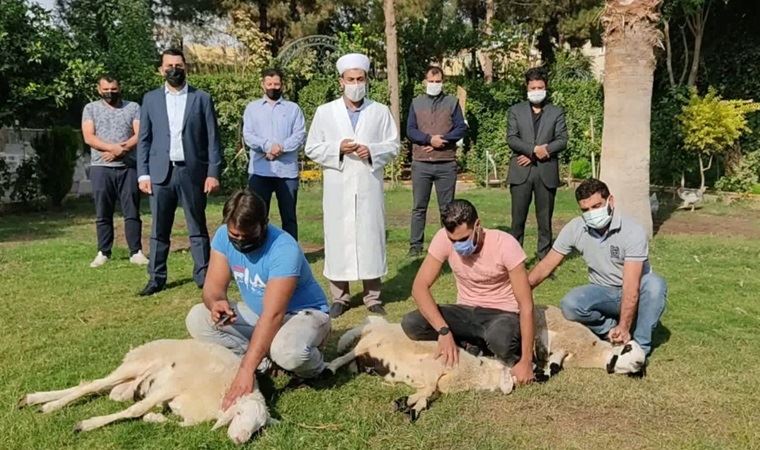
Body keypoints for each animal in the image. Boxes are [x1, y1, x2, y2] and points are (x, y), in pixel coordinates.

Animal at [17, 340, 274, 444]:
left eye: (259, 428)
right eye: (239, 414)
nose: (240, 440)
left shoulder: (187, 412)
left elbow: (178, 424)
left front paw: (154, 418)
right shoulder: (174, 384)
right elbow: (135, 410)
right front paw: (86, 424)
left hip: (125, 386)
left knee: (92, 386)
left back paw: (35, 400)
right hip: (135, 365)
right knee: (93, 385)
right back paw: (48, 405)